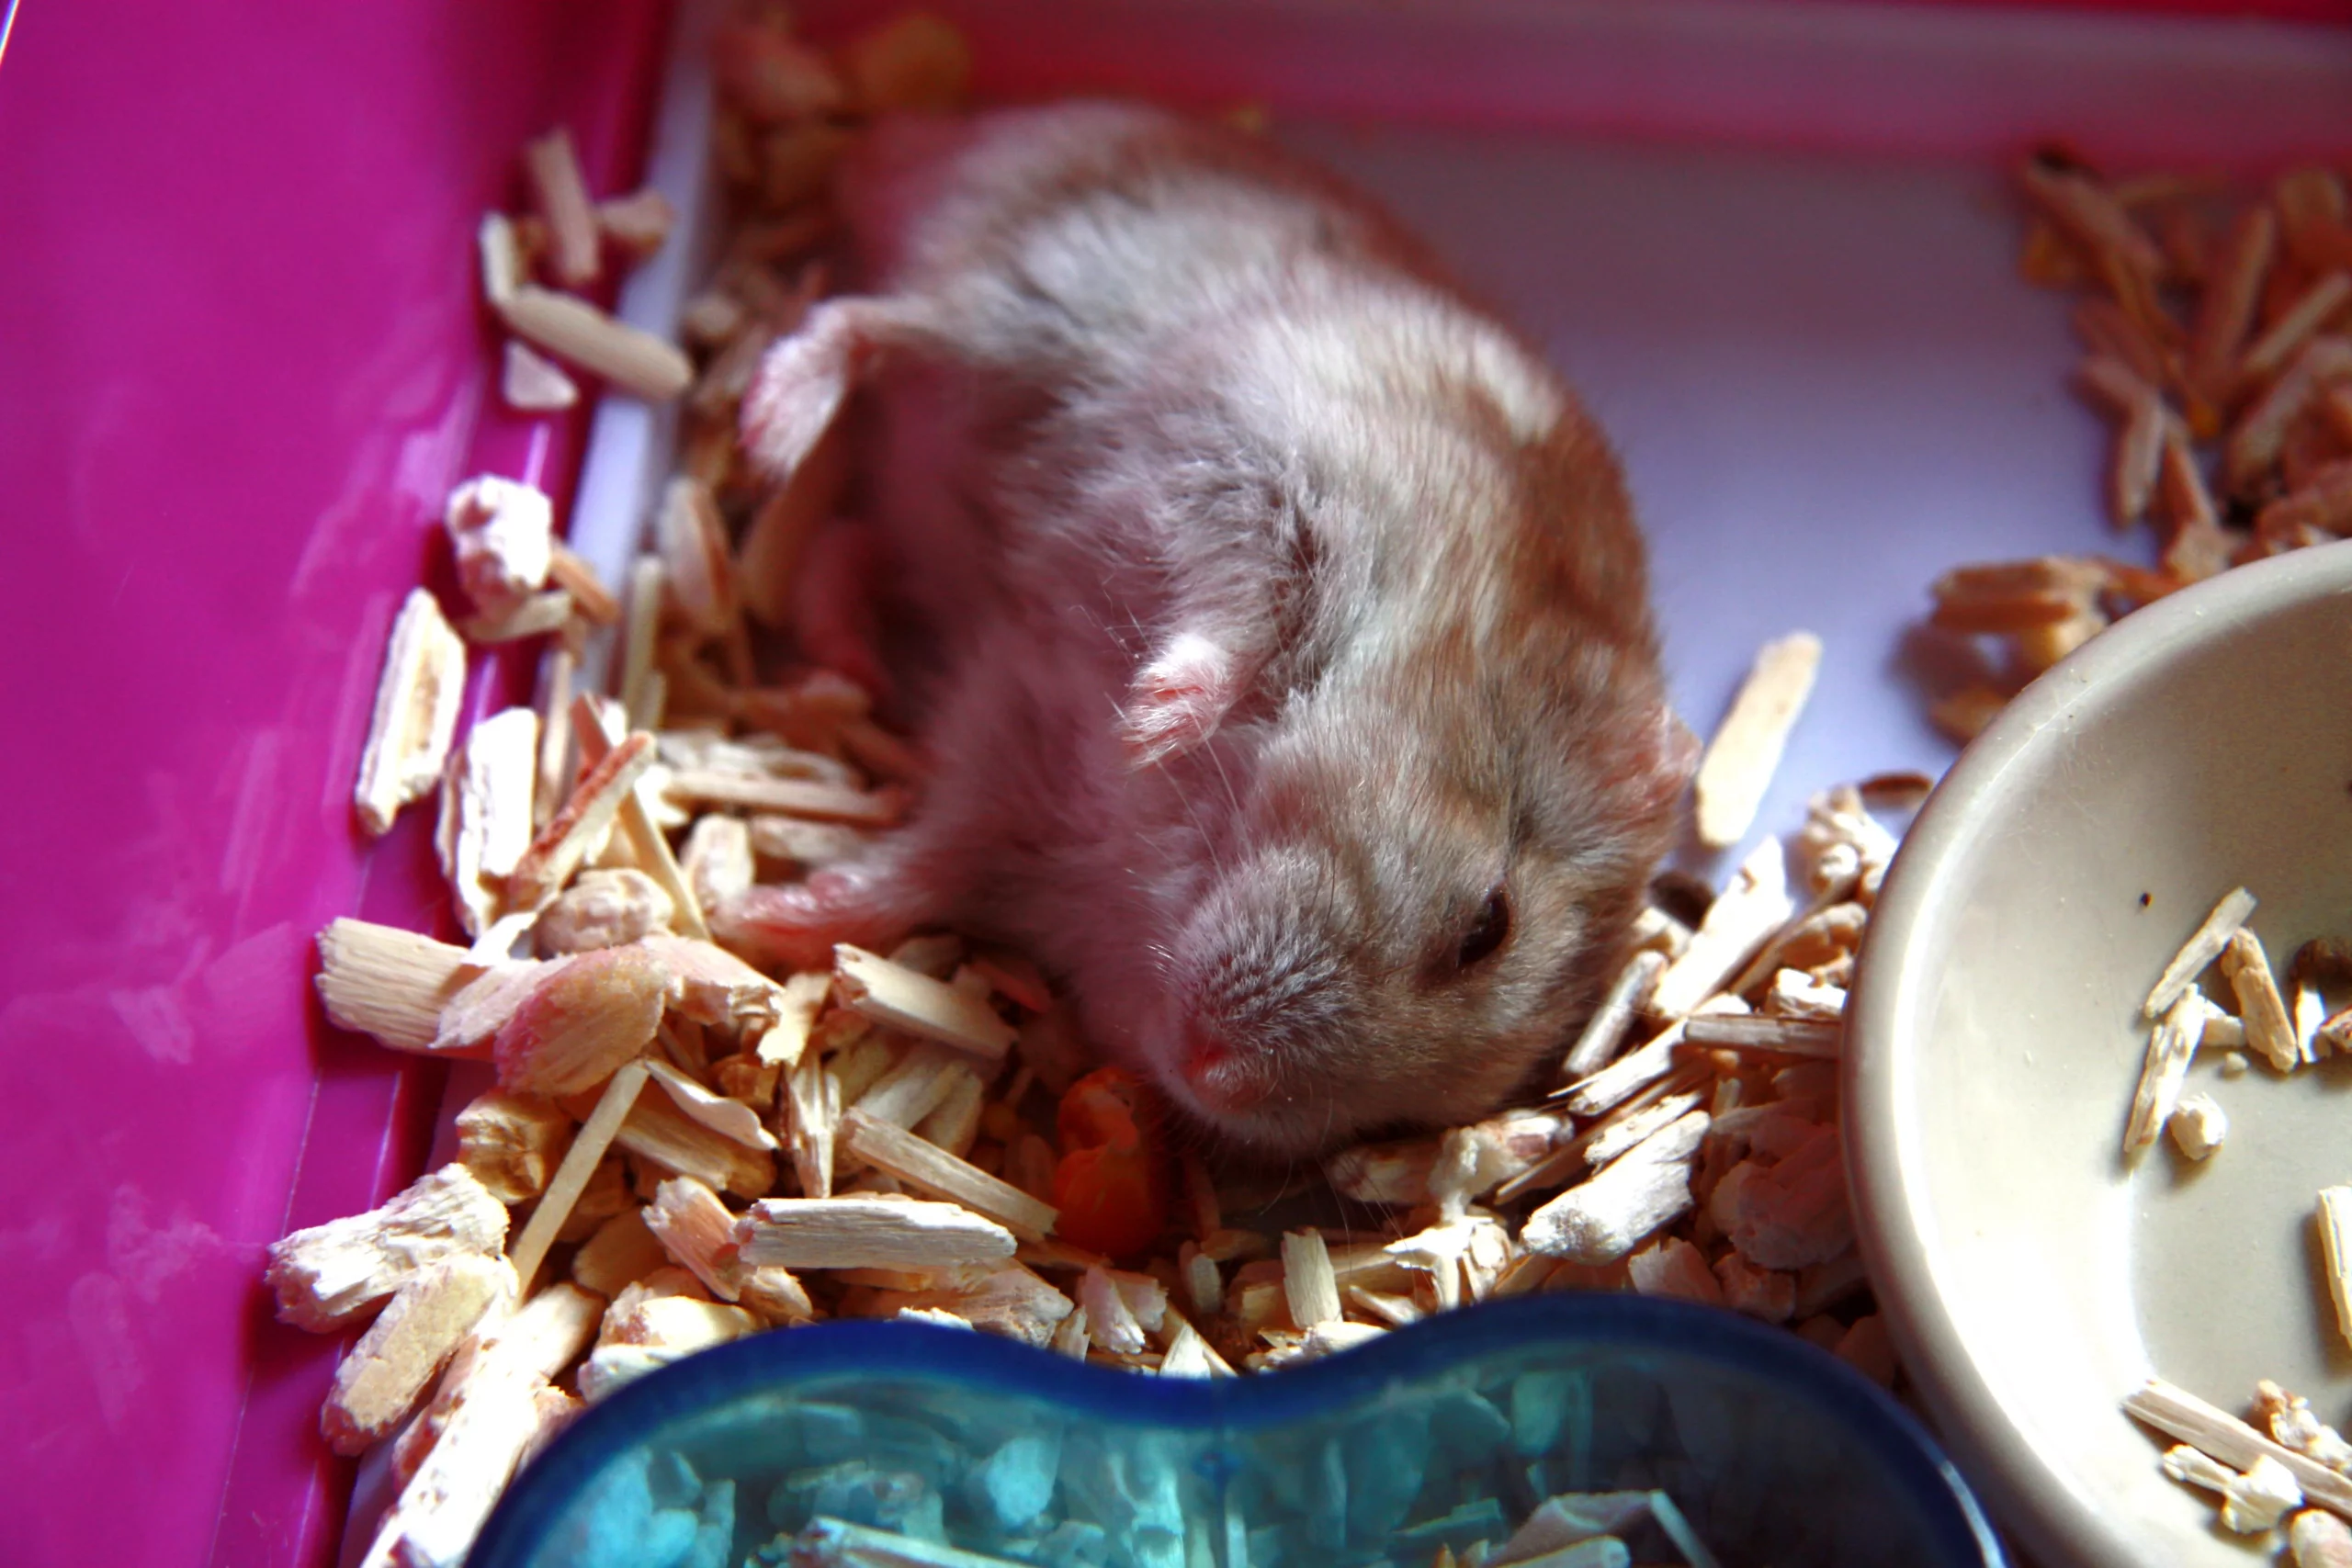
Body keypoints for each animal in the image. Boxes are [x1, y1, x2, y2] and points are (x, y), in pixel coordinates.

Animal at [720, 103, 1694, 1156]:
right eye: (1487, 925)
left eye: (1391, 1127)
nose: (1207, 1070)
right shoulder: (1273, 490)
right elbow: (1232, 623)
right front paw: (1149, 723)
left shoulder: (1008, 788)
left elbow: (915, 873)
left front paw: (761, 917)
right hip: (1029, 310)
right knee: (869, 322)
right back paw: (768, 428)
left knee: (846, 530)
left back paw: (845, 661)